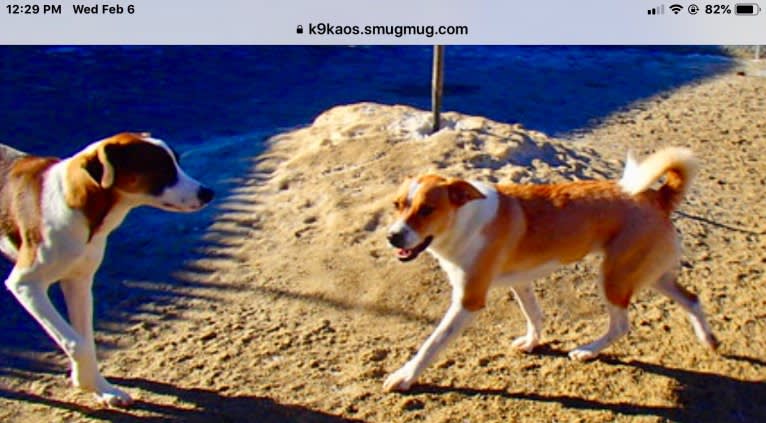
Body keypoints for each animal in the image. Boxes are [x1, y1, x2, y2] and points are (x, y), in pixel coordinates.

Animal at [1, 133, 216, 408]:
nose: (208, 193)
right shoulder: (26, 285)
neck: (82, 208)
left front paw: (100, 387)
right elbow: (76, 342)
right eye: (161, 168)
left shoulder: (78, 281)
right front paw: (88, 384)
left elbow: (86, 341)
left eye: (177, 162)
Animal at [388, 147, 724, 392]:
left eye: (427, 210)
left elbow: (432, 343)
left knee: (621, 325)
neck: (463, 220)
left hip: (614, 277)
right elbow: (534, 315)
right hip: (651, 275)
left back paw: (587, 351)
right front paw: (531, 343)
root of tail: (657, 195)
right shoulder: (520, 282)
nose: (392, 237)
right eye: (397, 205)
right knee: (692, 299)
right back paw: (709, 340)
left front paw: (405, 377)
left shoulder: (467, 300)